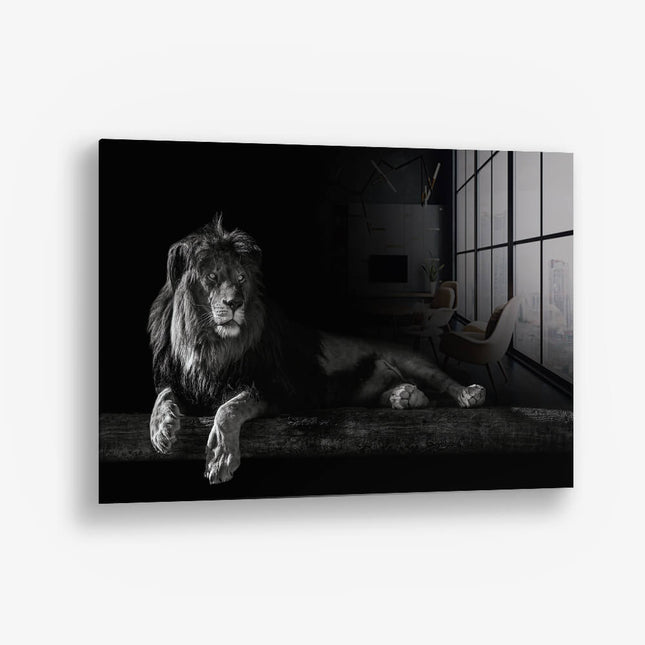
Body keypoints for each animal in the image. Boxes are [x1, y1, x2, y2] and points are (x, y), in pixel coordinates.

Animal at [148, 216, 485, 484]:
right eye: (212, 277)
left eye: (241, 278)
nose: (235, 303)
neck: (210, 345)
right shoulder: (182, 379)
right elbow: (162, 395)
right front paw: (161, 428)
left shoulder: (282, 388)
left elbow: (228, 408)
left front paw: (220, 457)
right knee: (409, 392)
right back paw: (406, 396)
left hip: (411, 359)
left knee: (442, 380)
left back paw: (467, 394)